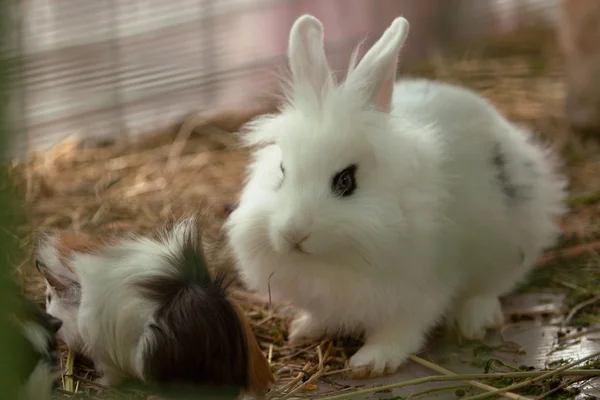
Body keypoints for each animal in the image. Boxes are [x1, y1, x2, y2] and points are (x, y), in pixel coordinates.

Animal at [225, 15, 568, 378]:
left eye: (346, 180)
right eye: (282, 171)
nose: (293, 233)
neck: (335, 261)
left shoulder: (421, 289)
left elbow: (402, 329)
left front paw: (372, 361)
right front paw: (304, 329)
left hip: (508, 242)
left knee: (493, 287)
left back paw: (475, 319)